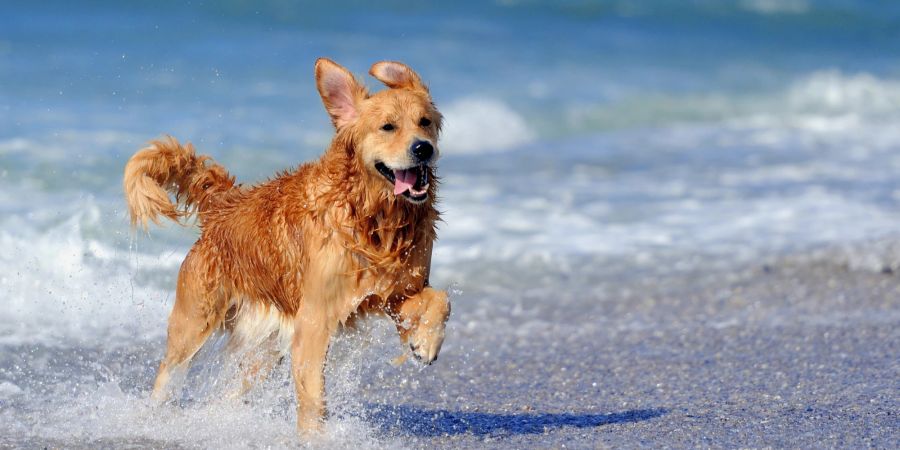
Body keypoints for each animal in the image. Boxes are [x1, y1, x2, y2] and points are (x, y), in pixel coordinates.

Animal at [121, 58, 450, 434]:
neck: (373, 216)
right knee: (168, 374)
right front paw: (315, 437)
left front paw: (425, 343)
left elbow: (440, 298)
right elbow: (313, 396)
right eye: (388, 127)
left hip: (263, 348)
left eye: (425, 122)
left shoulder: (393, 293)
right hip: (194, 323)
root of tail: (224, 206)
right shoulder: (315, 318)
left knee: (232, 392)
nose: (423, 148)